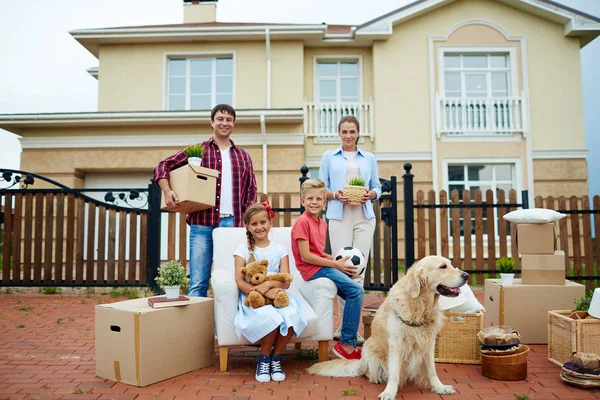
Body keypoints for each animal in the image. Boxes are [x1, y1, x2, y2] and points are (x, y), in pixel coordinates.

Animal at [310, 256, 468, 400]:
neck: (420, 306)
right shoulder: (396, 344)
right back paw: (375, 378)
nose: (466, 275)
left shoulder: (428, 343)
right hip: (370, 348)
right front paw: (389, 392)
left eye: (450, 264)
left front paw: (439, 387)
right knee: (369, 372)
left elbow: (432, 370)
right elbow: (394, 373)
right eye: (443, 267)